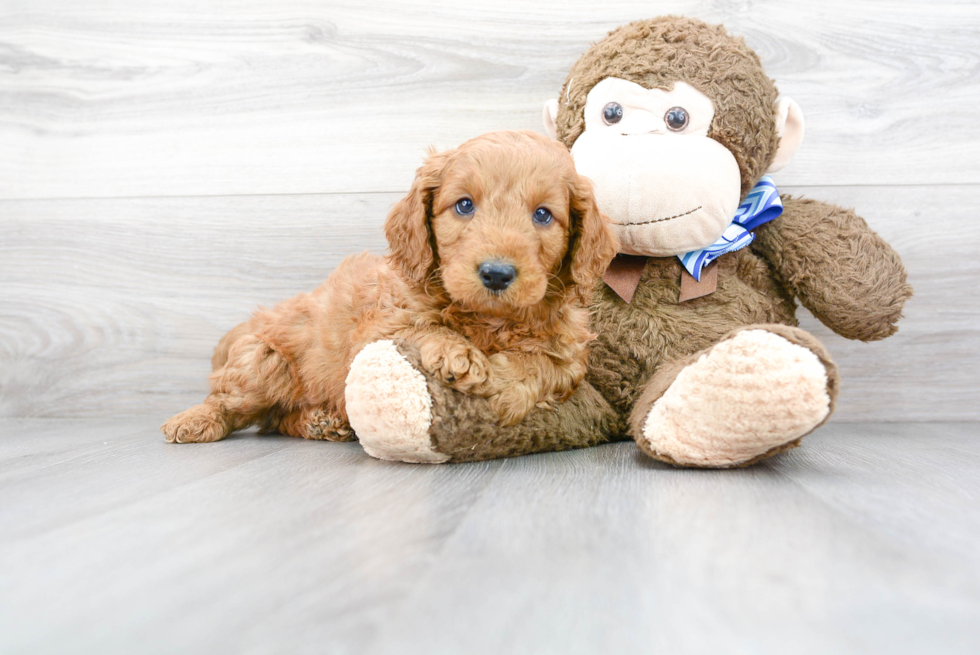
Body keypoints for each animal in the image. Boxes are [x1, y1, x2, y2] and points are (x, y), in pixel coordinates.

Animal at [162, 130, 620, 444]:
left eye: (543, 215)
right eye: (464, 205)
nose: (496, 273)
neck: (488, 321)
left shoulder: (569, 352)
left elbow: (546, 367)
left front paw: (504, 388)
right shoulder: (377, 327)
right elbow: (420, 328)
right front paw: (456, 353)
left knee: (276, 420)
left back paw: (320, 421)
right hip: (263, 360)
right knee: (234, 404)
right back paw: (193, 420)